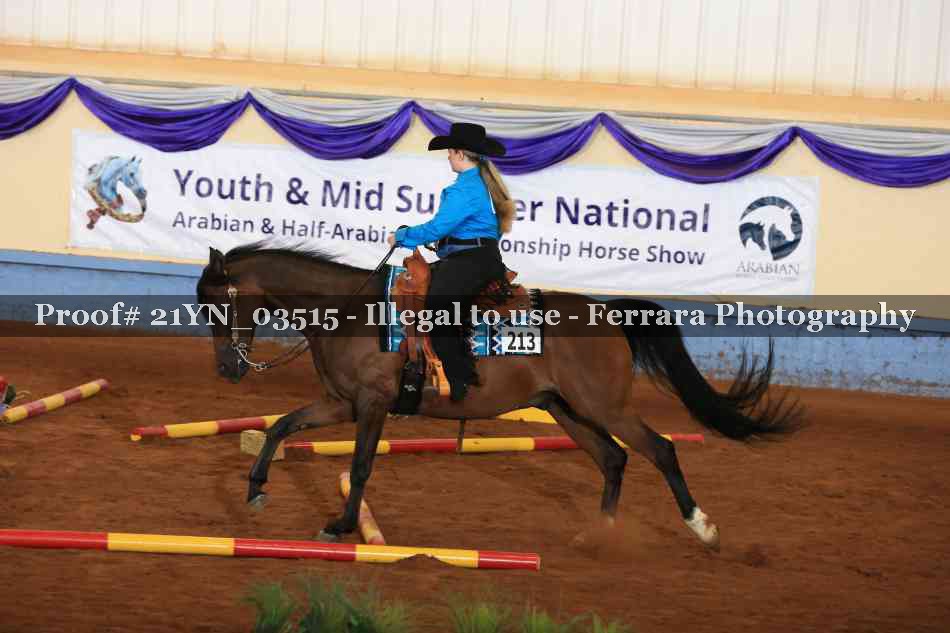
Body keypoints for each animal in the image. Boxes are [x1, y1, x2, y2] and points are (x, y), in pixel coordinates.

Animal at [196, 243, 802, 550]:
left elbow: (363, 466)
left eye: (219, 303)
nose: (226, 368)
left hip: (603, 407)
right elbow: (281, 425)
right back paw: (598, 533)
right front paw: (255, 489)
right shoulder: (341, 403)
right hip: (567, 410)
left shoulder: (371, 405)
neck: (352, 310)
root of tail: (607, 311)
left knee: (660, 450)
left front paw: (341, 526)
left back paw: (703, 527)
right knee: (614, 458)